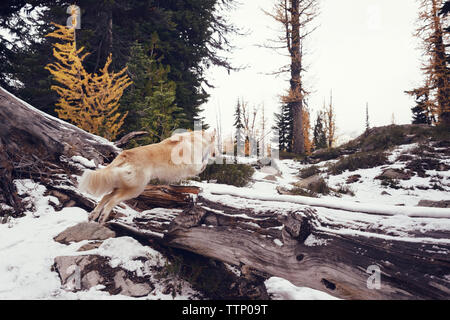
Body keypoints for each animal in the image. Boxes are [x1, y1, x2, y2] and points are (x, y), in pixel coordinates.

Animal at [78, 129, 216, 224]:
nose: (217, 154)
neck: (199, 140)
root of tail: (126, 154)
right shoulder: (194, 166)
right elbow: (203, 164)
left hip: (124, 185)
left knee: (106, 196)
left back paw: (93, 215)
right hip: (136, 189)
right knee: (112, 200)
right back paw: (102, 217)